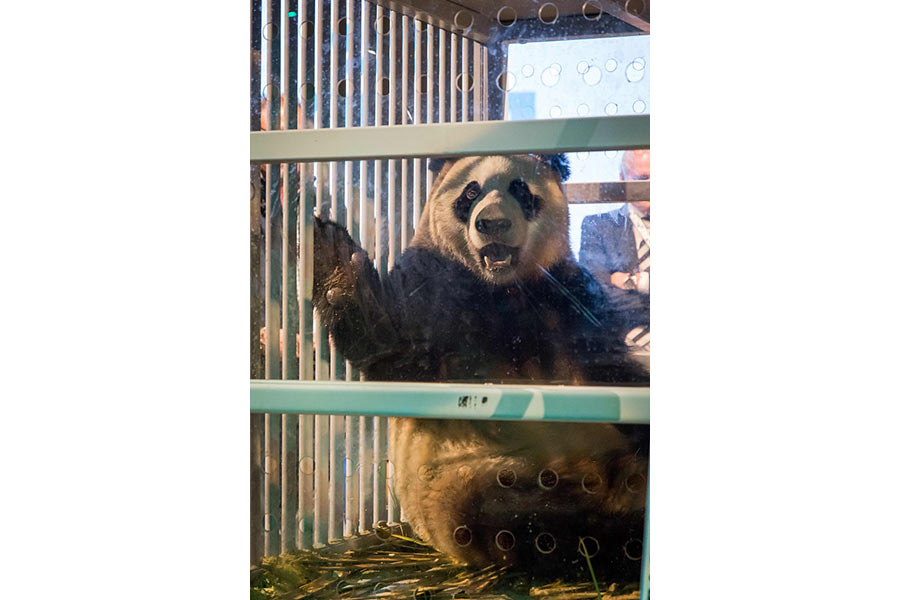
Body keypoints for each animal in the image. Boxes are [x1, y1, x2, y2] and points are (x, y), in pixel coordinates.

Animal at [313, 154, 649, 577]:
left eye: (520, 189)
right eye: (470, 193)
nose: (492, 223)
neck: (499, 288)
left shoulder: (563, 294)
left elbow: (604, 367)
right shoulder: (435, 285)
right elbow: (395, 354)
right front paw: (334, 260)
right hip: (464, 479)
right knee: (516, 515)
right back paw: (616, 521)